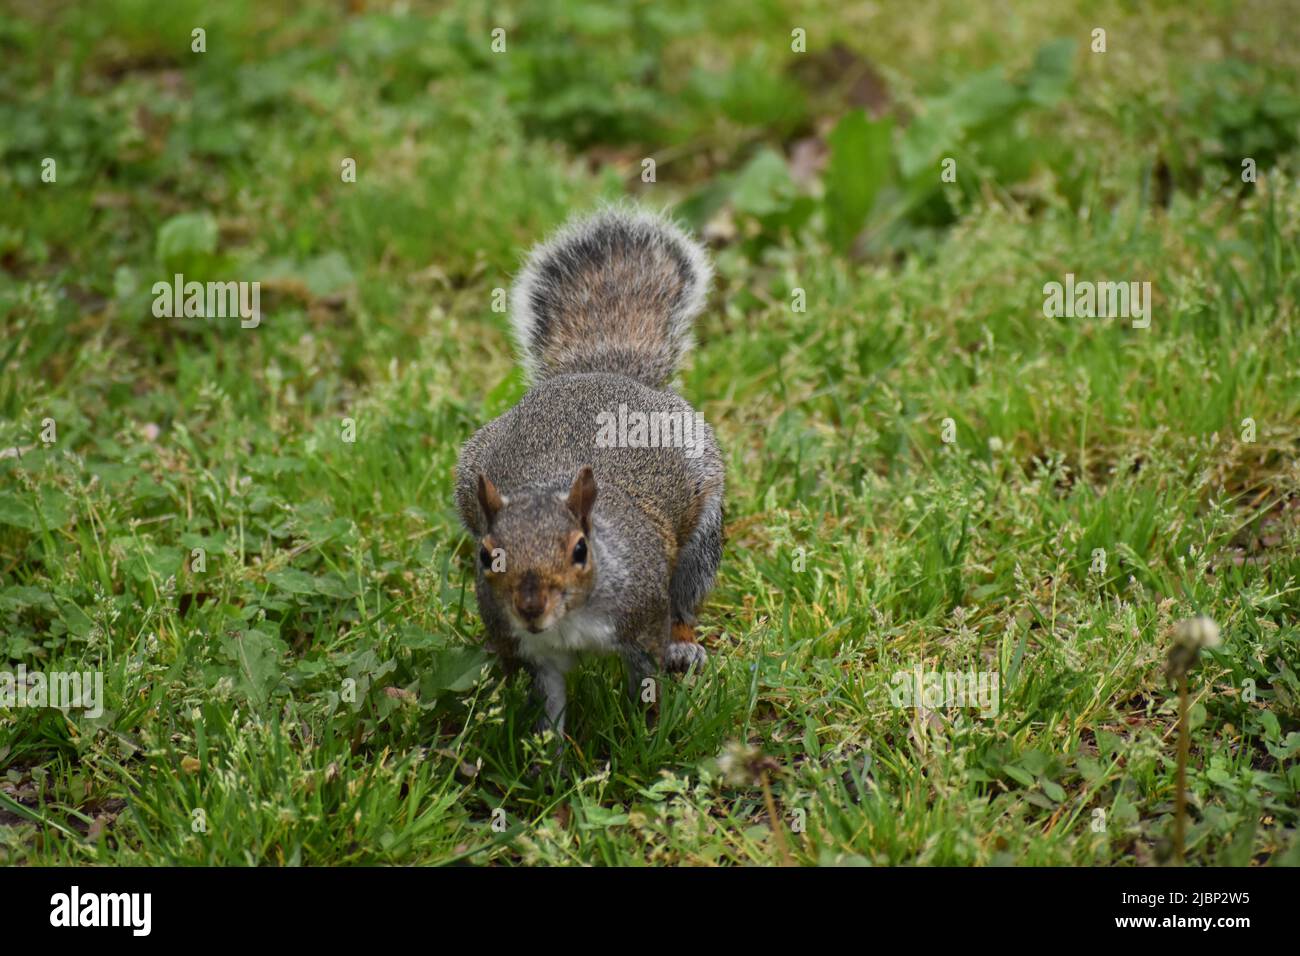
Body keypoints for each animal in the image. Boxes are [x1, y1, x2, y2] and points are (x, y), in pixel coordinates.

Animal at [454, 205, 722, 738]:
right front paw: (548, 752)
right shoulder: (538, 653)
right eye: (488, 556)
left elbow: (646, 684)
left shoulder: (641, 625)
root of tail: (602, 371)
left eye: (580, 549)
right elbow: (550, 706)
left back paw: (684, 645)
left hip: (702, 530)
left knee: (686, 595)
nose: (531, 608)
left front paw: (645, 736)